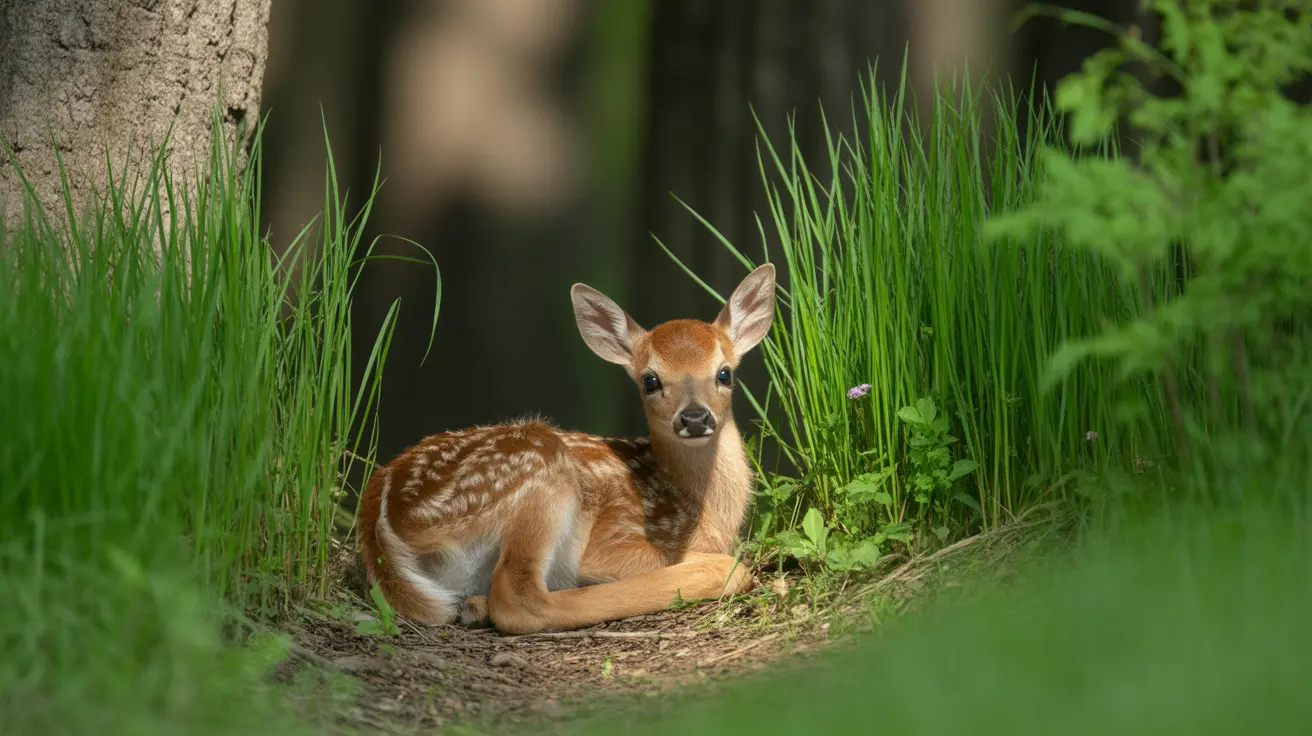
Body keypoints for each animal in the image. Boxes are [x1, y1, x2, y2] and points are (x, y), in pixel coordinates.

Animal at [355, 264, 777, 635]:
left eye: (725, 373)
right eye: (650, 380)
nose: (694, 417)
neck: (699, 509)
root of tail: (380, 512)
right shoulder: (614, 534)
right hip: (542, 470)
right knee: (518, 598)